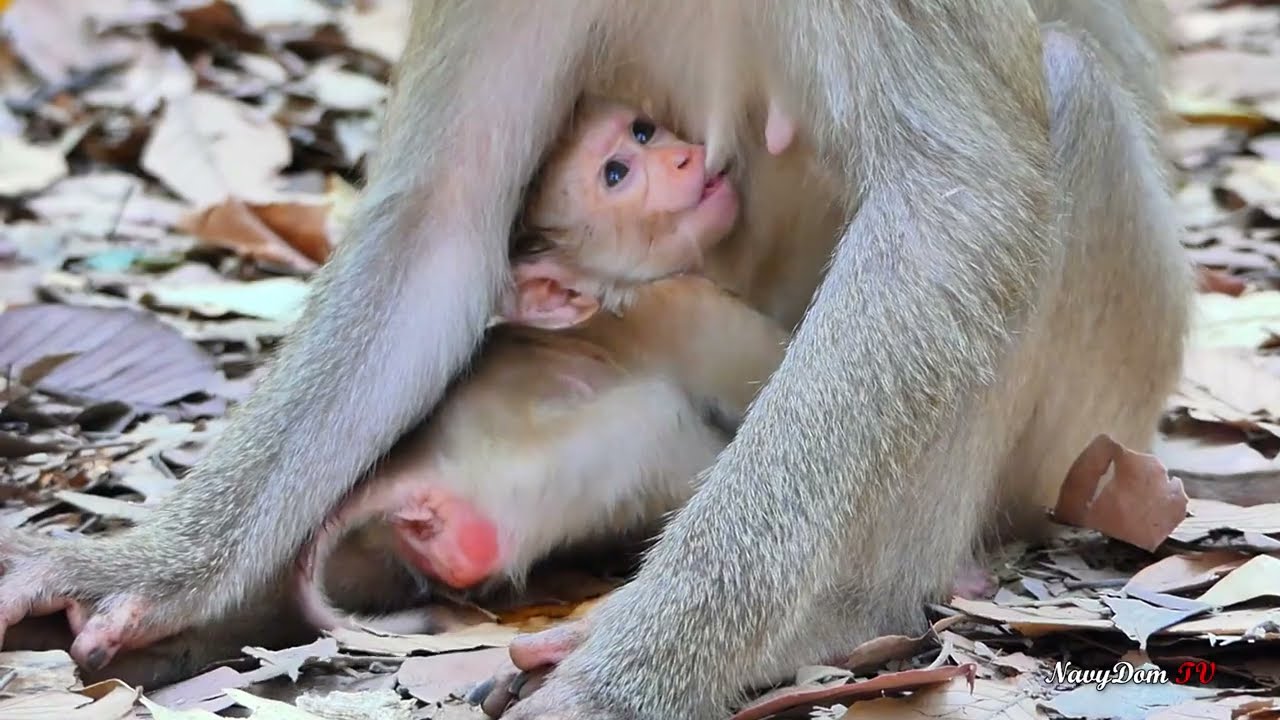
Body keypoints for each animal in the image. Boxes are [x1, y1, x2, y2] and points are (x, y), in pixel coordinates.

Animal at [294, 98, 789, 632]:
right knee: (655, 418)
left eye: (643, 132)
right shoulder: (689, 309)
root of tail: (412, 469)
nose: (682, 158)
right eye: (616, 174)